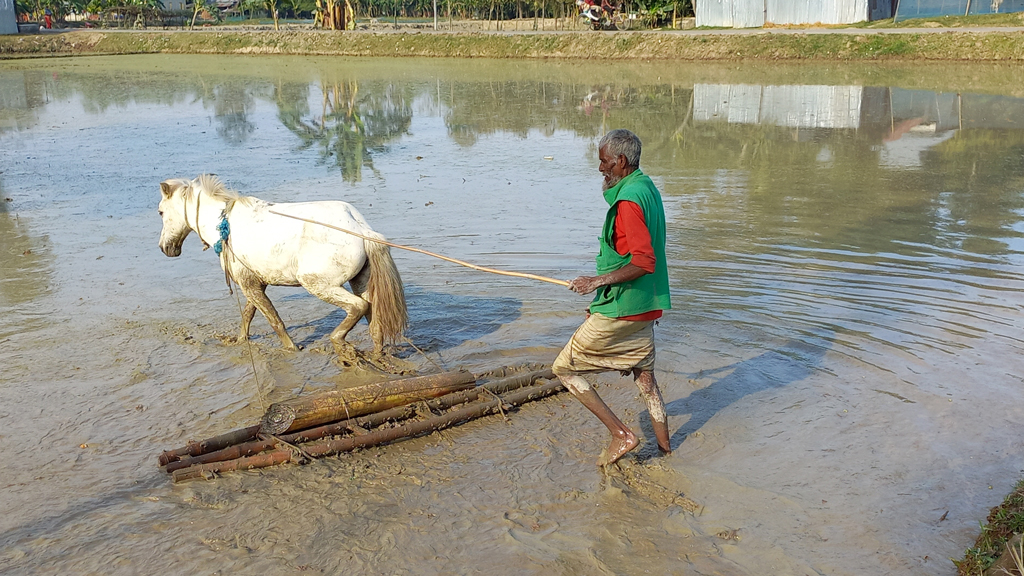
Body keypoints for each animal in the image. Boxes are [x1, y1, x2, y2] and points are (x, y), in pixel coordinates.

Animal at [157, 174, 405, 358]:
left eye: (160, 212)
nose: (164, 248)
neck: (223, 225)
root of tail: (361, 229)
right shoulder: (256, 282)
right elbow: (248, 314)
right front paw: (240, 341)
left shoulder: (248, 283)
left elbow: (273, 319)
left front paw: (291, 348)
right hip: (360, 281)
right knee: (374, 319)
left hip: (317, 283)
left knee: (357, 307)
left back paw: (337, 340)